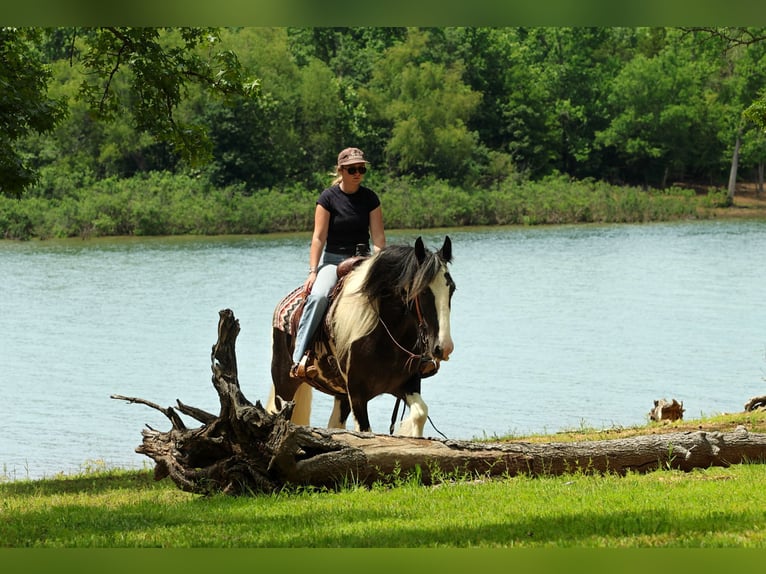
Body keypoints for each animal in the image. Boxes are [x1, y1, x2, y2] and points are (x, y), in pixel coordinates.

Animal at [266, 236, 455, 436]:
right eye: (424, 291)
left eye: (452, 289)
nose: (444, 347)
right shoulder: (357, 394)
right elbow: (366, 433)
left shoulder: (407, 384)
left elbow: (419, 414)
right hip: (284, 386)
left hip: (341, 395)